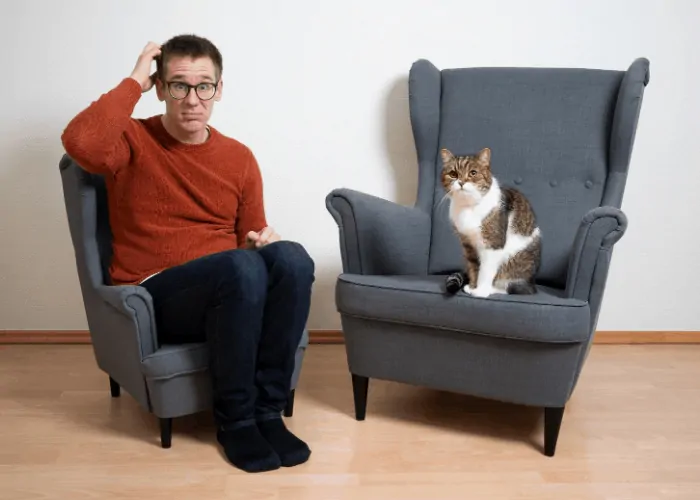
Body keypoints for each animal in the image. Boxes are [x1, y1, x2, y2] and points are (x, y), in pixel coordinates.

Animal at [440, 146, 544, 296]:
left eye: (473, 173)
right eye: (453, 174)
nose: (461, 182)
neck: (469, 207)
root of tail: (532, 283)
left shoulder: (493, 243)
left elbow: (485, 270)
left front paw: (480, 291)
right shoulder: (467, 244)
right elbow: (473, 266)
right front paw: (473, 287)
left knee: (513, 287)